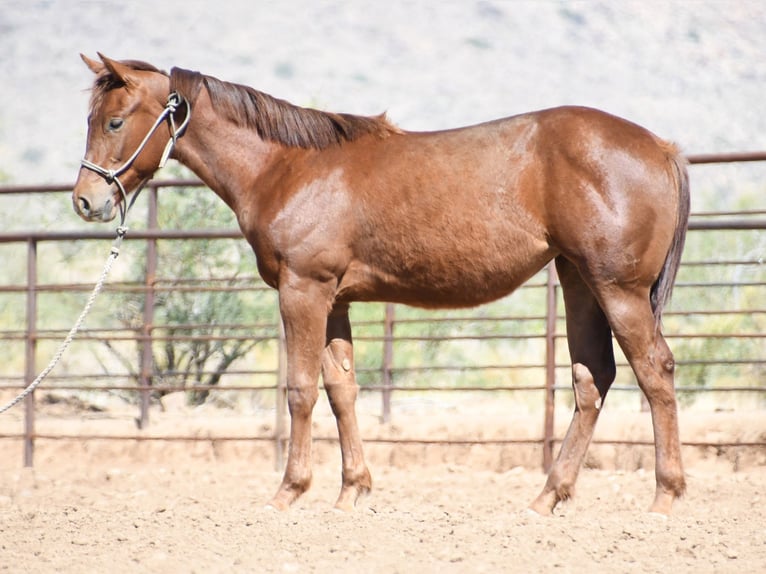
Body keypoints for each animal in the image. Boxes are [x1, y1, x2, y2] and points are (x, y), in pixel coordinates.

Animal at [73, 54, 690, 515]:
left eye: (114, 122)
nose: (85, 200)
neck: (286, 168)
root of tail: (661, 147)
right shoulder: (335, 300)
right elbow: (342, 390)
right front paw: (352, 490)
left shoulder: (303, 290)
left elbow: (301, 390)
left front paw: (288, 492)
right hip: (579, 280)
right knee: (593, 378)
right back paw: (547, 497)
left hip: (618, 288)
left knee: (655, 371)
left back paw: (664, 497)